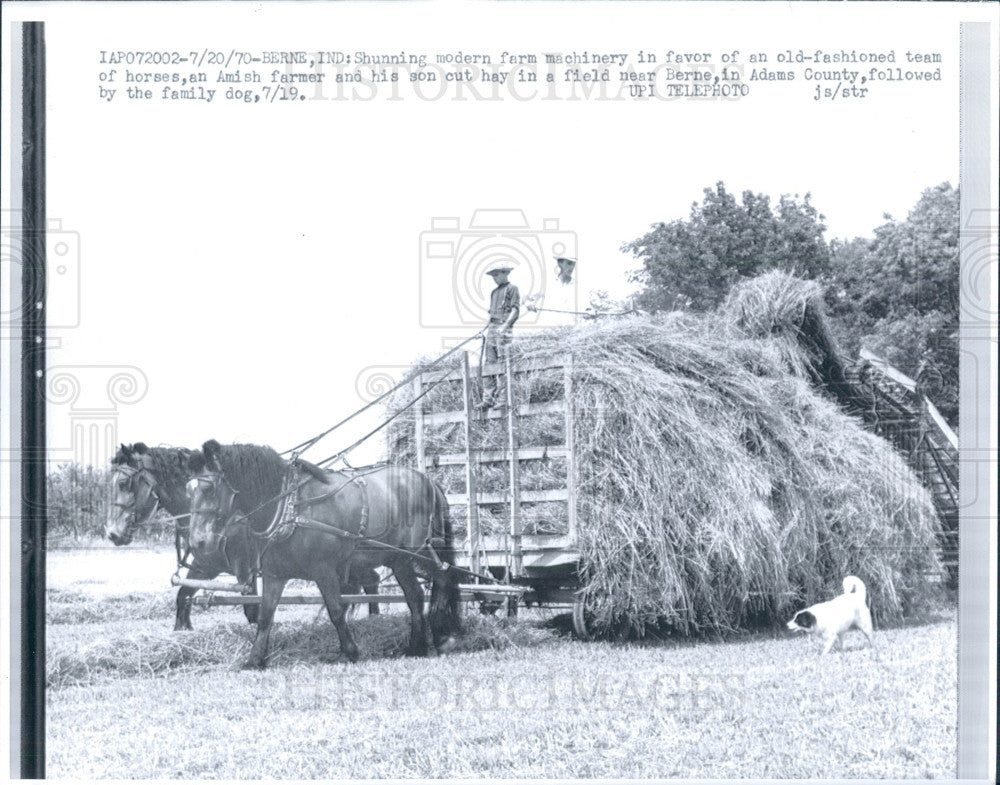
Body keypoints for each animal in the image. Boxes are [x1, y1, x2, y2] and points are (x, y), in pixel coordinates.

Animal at [187, 438, 460, 664]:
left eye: (209, 488)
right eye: (190, 491)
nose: (197, 541)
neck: (290, 509)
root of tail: (428, 481)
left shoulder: (324, 570)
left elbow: (336, 610)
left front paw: (350, 652)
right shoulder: (275, 575)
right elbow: (265, 616)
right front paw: (255, 659)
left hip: (419, 552)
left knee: (443, 580)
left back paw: (443, 637)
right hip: (399, 560)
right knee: (415, 596)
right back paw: (416, 646)